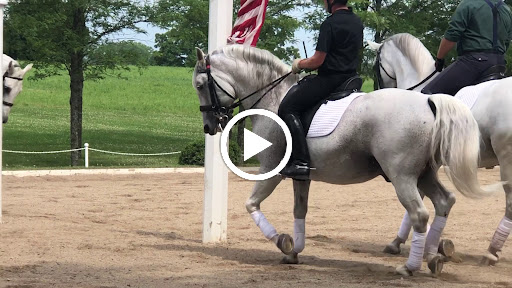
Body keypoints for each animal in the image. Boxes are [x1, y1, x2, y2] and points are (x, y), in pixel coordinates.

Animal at [192, 44, 496, 276]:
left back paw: (409, 266)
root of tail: (428, 102)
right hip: (424, 174)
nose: (209, 126)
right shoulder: (301, 175)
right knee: (444, 202)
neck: (274, 98)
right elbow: (299, 211)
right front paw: (294, 252)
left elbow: (251, 204)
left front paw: (283, 242)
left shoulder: (271, 170)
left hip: (403, 177)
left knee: (420, 214)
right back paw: (434, 257)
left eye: (199, 85)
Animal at [368, 33, 512, 266]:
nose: (377, 89)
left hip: (507, 159)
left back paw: (491, 252)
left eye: (375, 66)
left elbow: (417, 201)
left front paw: (399, 242)